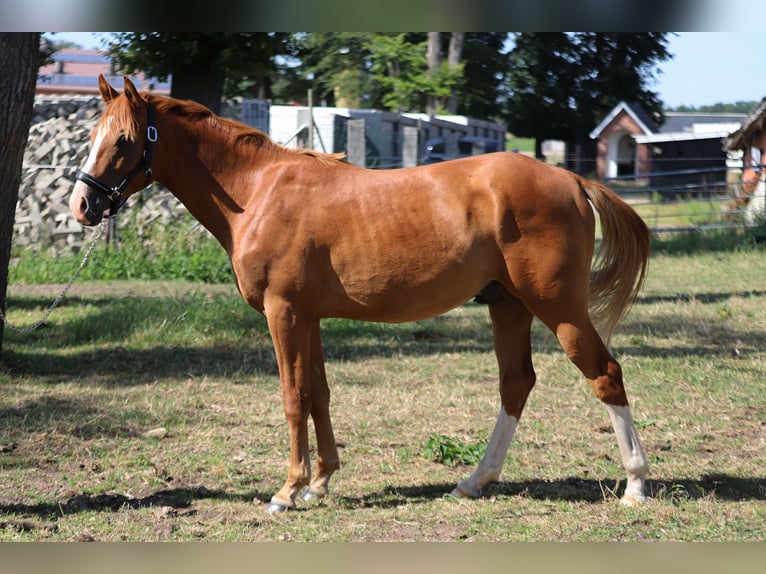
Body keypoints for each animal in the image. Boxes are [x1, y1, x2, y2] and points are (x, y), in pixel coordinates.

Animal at [69, 76, 652, 512]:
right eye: (95, 135)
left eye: (123, 140)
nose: (82, 205)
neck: (257, 192)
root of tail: (570, 180)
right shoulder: (309, 319)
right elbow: (319, 394)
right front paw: (321, 481)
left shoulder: (284, 315)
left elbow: (293, 398)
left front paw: (288, 491)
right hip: (508, 308)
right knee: (516, 384)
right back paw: (474, 481)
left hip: (559, 309)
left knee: (605, 374)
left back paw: (635, 484)